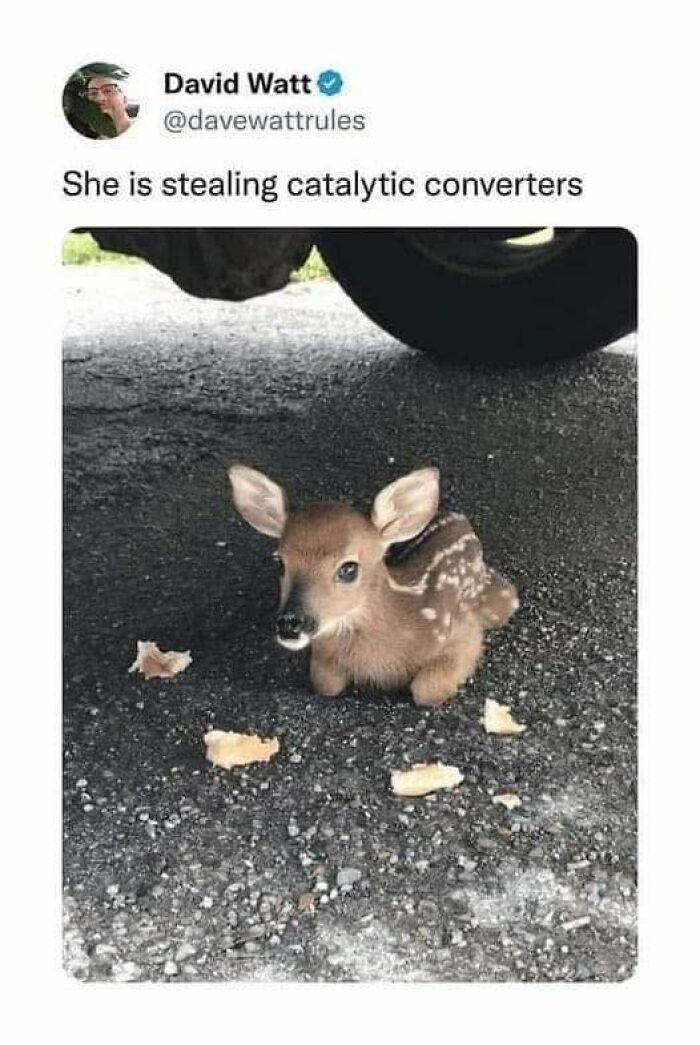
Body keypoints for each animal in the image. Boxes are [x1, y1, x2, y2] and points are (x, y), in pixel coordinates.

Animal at [228, 464, 519, 708]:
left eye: (349, 568)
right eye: (280, 563)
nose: (290, 622)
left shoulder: (462, 631)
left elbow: (427, 690)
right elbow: (325, 683)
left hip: (500, 598)